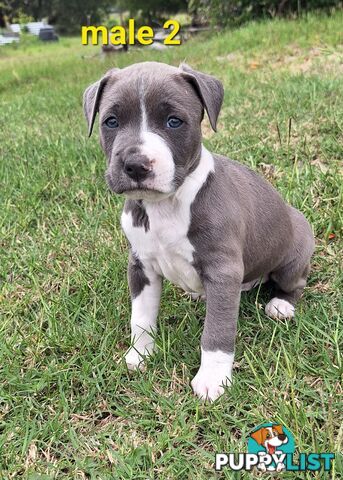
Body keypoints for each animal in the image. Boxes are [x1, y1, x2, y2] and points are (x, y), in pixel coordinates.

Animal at [82, 62, 314, 404]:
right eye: (111, 121)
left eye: (174, 121)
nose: (136, 165)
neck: (164, 206)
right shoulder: (141, 266)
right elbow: (141, 317)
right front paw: (140, 354)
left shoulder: (222, 269)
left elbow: (217, 330)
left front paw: (213, 378)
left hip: (293, 252)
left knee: (295, 282)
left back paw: (281, 305)